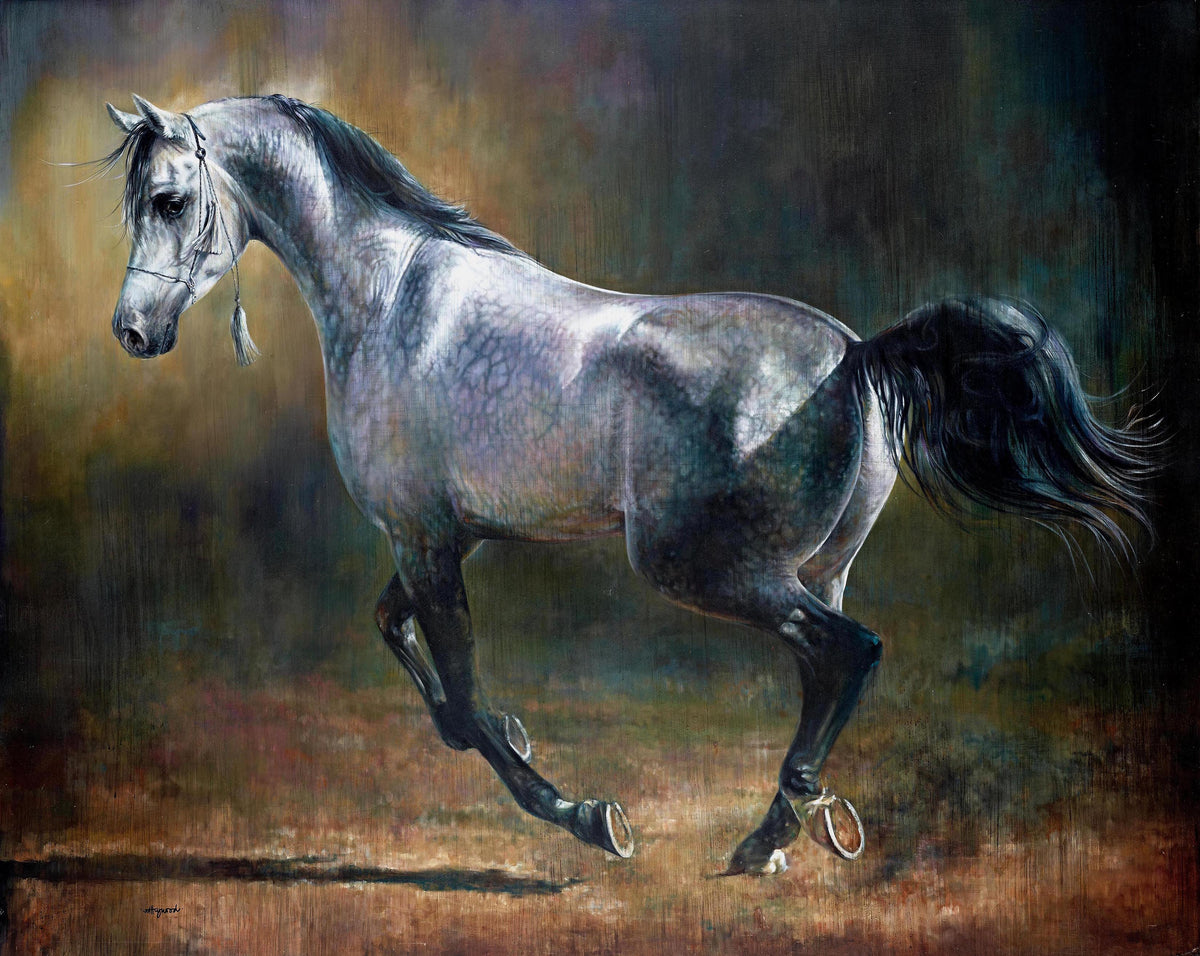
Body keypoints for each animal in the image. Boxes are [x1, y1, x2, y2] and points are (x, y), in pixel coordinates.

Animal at [102, 94, 1152, 874]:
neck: (391, 294)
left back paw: (765, 835)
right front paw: (510, 735)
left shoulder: (426, 539)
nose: (131, 332)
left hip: (709, 569)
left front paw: (586, 814)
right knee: (823, 671)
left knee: (849, 653)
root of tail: (853, 358)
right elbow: (405, 644)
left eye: (169, 199)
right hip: (817, 567)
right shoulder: (441, 535)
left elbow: (458, 686)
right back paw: (781, 831)